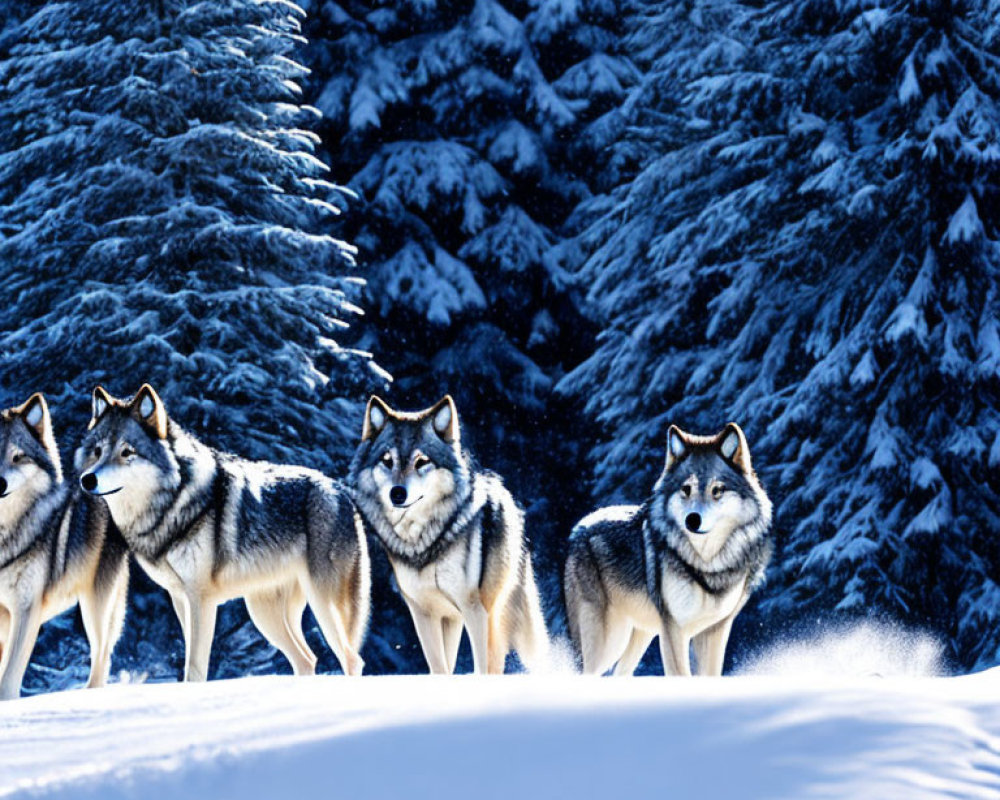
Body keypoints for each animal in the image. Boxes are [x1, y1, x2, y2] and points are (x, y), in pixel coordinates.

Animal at [77, 384, 368, 680]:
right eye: (98, 451)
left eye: (127, 452)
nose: (87, 479)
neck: (173, 502)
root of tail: (341, 492)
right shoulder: (180, 599)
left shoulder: (201, 599)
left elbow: (194, 667)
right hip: (263, 614)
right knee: (307, 659)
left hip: (323, 604)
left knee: (352, 659)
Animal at [350, 396, 548, 672]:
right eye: (387, 460)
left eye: (422, 462)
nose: (397, 493)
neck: (423, 542)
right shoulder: (423, 612)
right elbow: (440, 668)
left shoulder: (475, 609)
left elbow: (482, 667)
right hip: (453, 619)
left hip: (498, 614)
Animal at [564, 422, 772, 680]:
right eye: (686, 489)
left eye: (717, 490)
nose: (692, 520)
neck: (707, 563)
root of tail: (579, 528)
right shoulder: (674, 630)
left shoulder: (716, 630)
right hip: (610, 640)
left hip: (641, 634)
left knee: (619, 673)